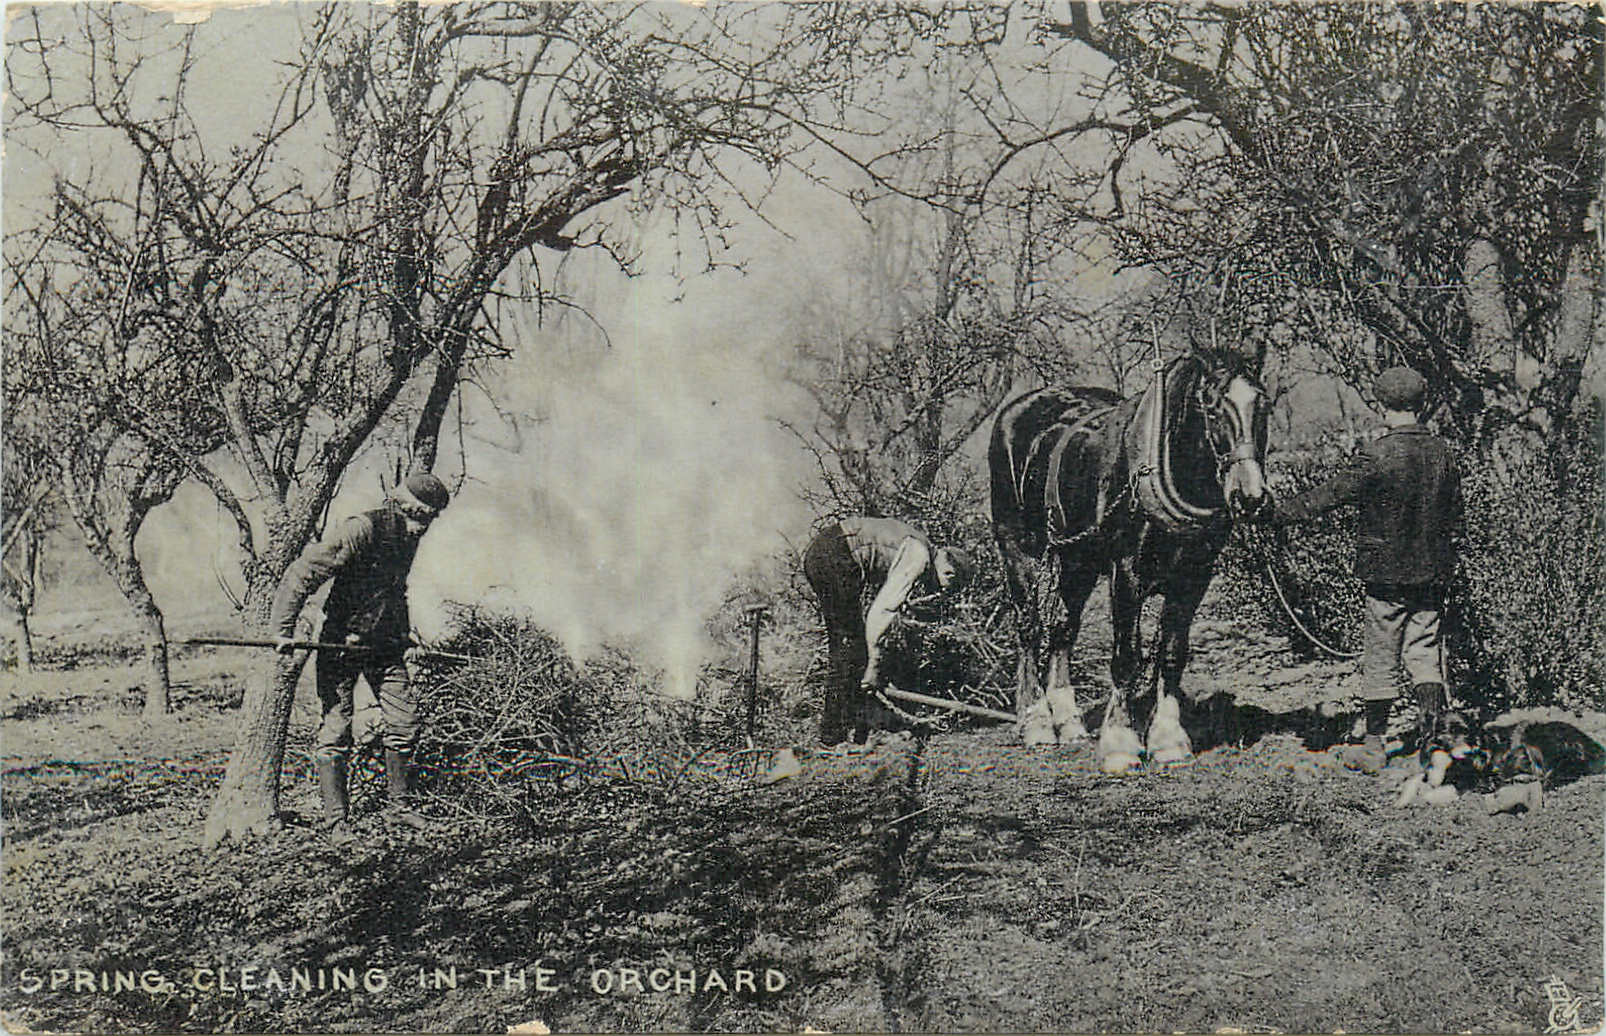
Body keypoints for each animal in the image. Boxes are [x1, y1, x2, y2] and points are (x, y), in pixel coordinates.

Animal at [988, 352, 1270, 774]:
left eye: (1262, 405)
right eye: (1212, 407)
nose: (1250, 496)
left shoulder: (1194, 577)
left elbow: (1171, 653)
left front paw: (1168, 739)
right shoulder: (1127, 574)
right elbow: (1126, 657)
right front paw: (1120, 742)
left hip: (1079, 562)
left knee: (1062, 629)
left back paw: (1068, 722)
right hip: (1018, 549)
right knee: (1030, 628)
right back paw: (1036, 722)